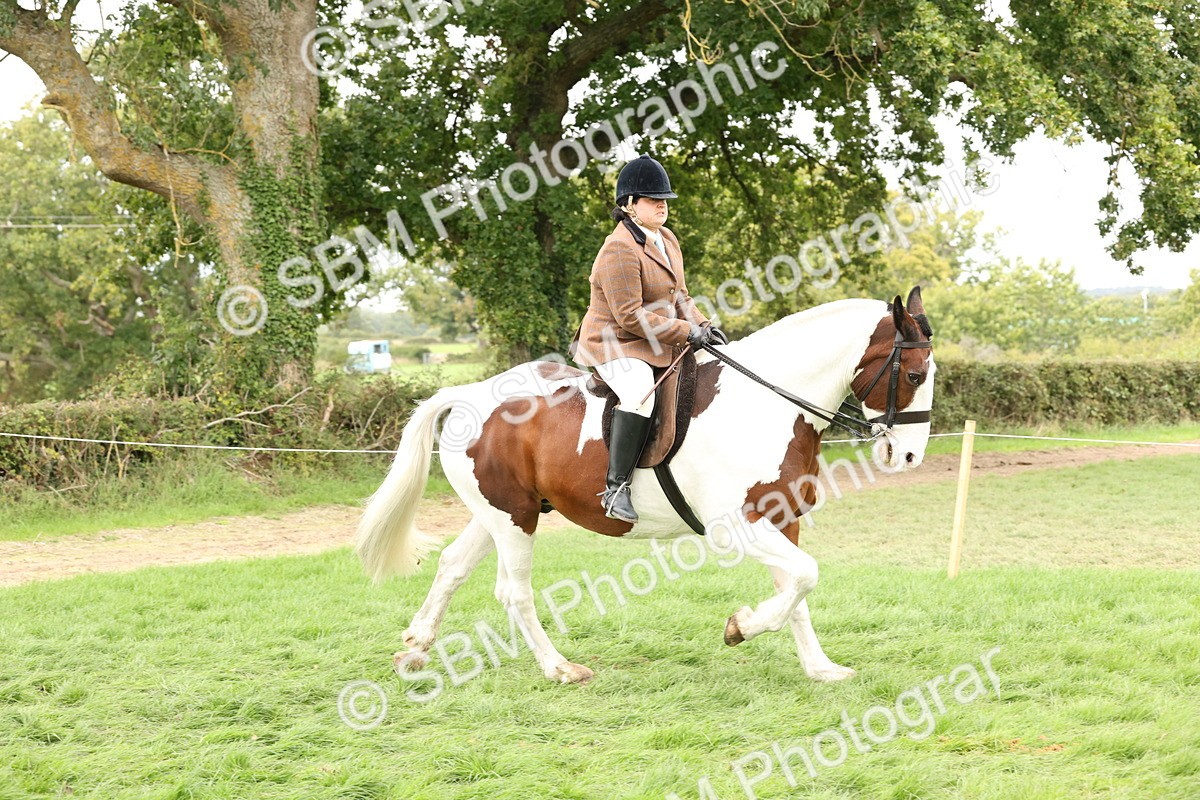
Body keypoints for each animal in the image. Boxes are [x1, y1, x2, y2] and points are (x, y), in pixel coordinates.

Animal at [355, 288, 936, 685]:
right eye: (913, 375)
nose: (908, 456)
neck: (766, 405)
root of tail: (470, 394)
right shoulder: (736, 527)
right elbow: (803, 579)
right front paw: (740, 627)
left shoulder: (781, 520)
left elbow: (796, 590)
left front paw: (820, 668)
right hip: (514, 519)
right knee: (513, 592)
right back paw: (560, 668)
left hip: (503, 512)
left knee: (453, 566)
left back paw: (416, 648)